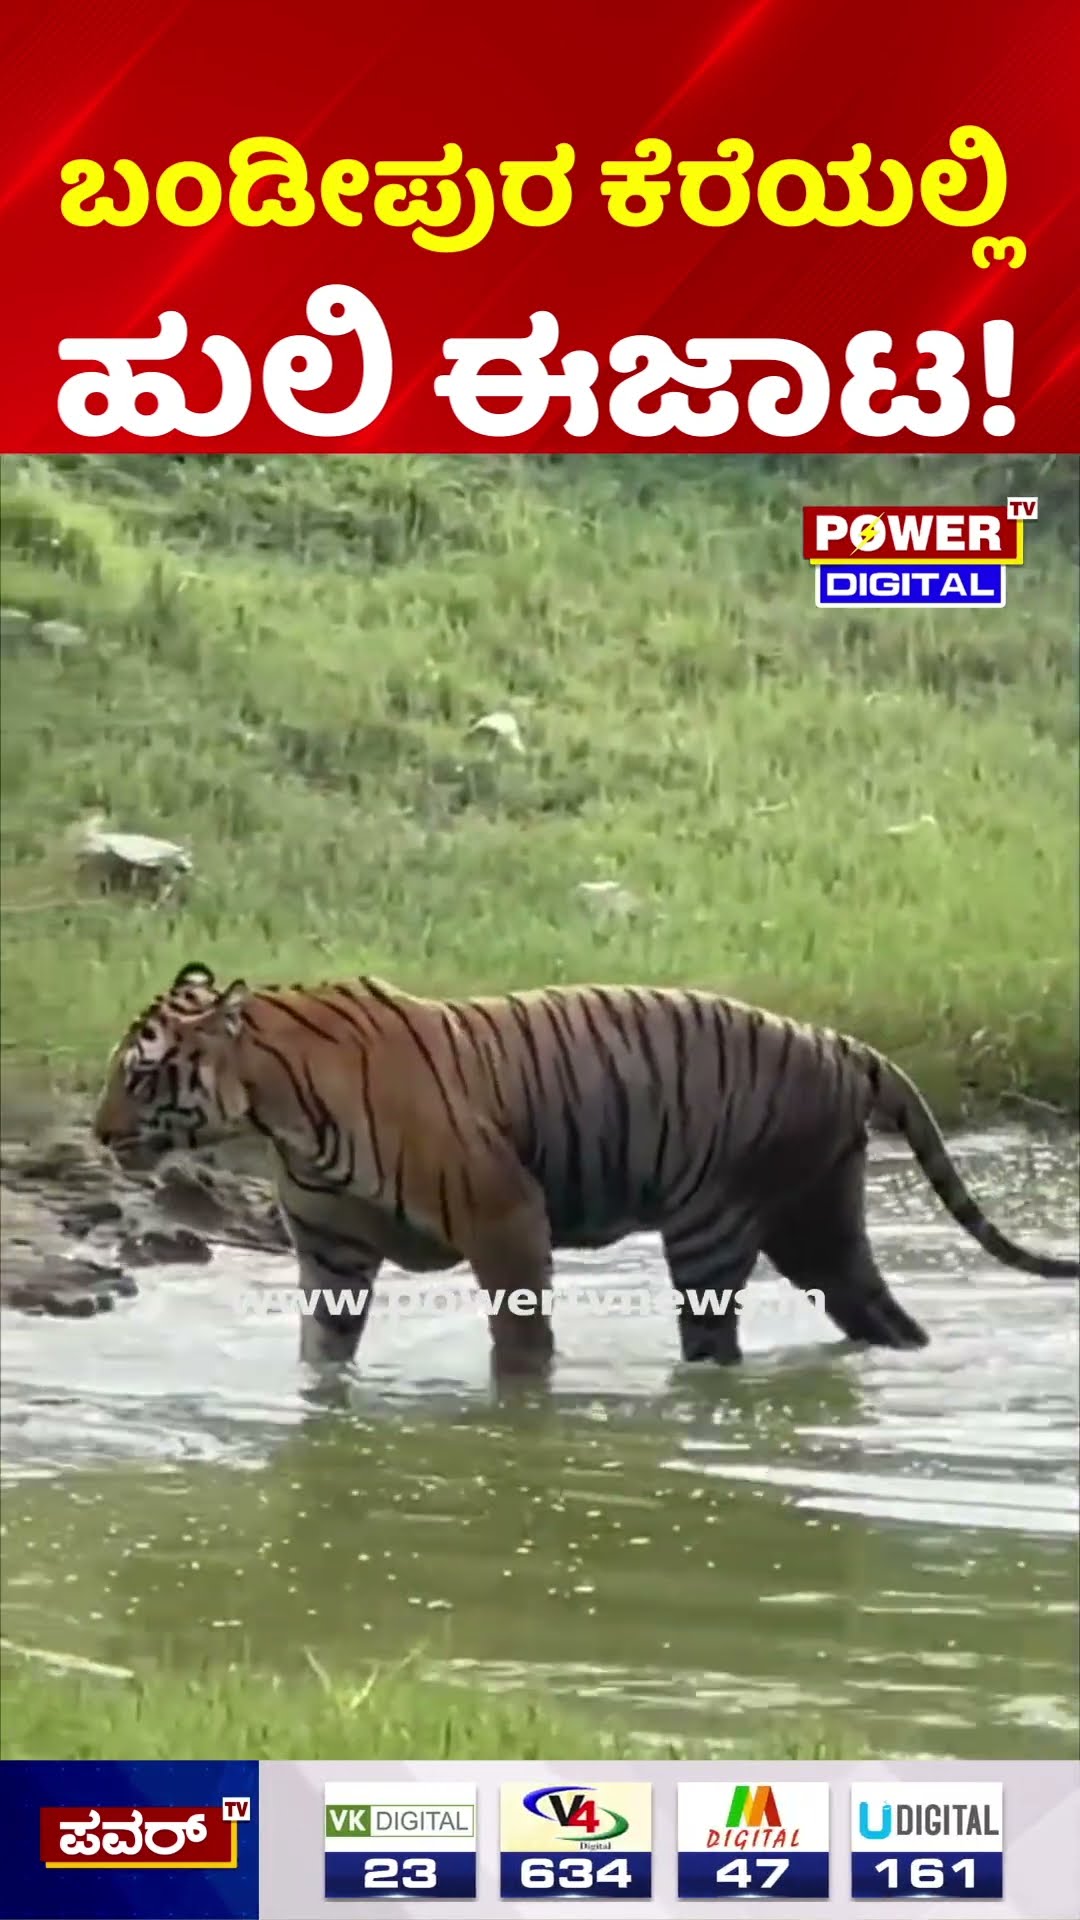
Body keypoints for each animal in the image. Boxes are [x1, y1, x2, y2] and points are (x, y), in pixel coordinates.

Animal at [92, 961, 1079, 1375]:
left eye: (139, 1074)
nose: (99, 1134)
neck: (276, 1113)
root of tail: (844, 1043)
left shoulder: (506, 1219)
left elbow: (521, 1347)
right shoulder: (333, 1254)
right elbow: (321, 1359)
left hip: (714, 1225)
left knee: (716, 1346)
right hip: (819, 1226)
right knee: (883, 1317)